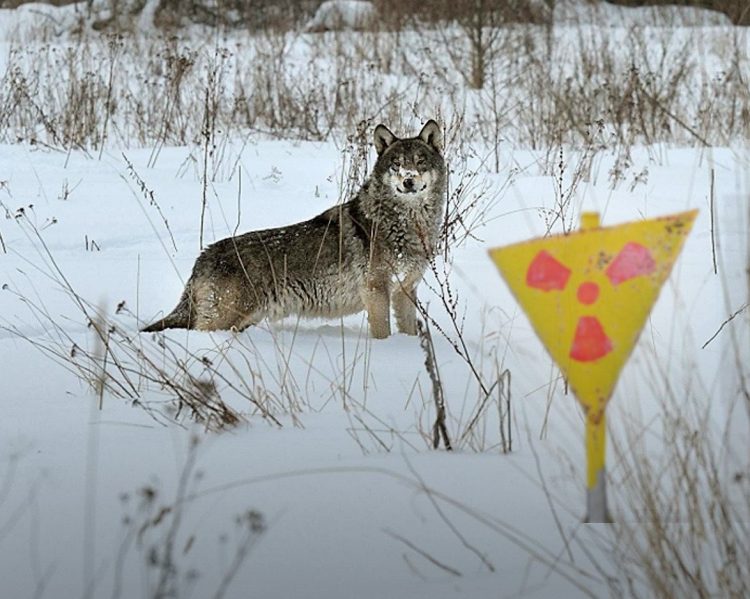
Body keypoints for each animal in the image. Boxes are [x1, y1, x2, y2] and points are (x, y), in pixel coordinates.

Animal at [141, 119, 446, 340]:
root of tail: (203, 256)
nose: (408, 181)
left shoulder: (405, 292)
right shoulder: (376, 292)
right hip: (225, 320)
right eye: (397, 164)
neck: (408, 225)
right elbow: (383, 334)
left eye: (420, 162)